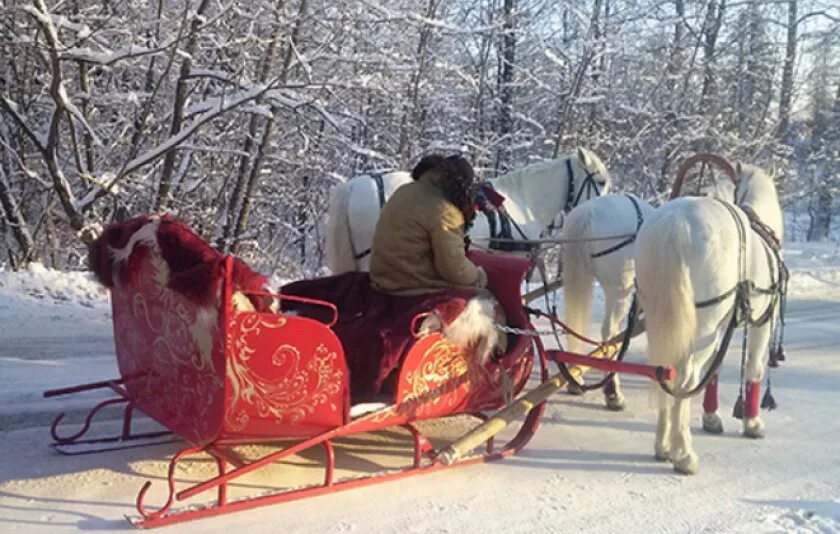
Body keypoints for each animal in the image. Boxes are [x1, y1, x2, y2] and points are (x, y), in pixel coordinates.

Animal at [640, 164, 784, 478]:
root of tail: (675, 224)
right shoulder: (761, 323)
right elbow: (754, 368)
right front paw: (752, 423)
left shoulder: (721, 326)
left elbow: (713, 372)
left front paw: (711, 417)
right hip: (703, 325)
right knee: (685, 378)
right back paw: (683, 454)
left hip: (665, 319)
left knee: (665, 372)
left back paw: (663, 445)